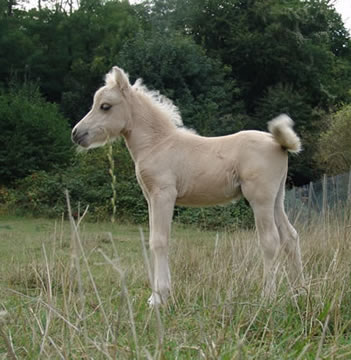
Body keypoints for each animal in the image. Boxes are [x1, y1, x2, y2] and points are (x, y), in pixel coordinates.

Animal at [72, 66, 306, 306]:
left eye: (105, 106)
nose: (76, 134)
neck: (157, 144)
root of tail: (279, 143)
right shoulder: (150, 198)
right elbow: (153, 239)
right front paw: (155, 296)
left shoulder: (164, 195)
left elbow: (160, 241)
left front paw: (160, 297)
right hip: (276, 198)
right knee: (290, 237)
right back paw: (299, 293)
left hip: (260, 199)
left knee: (270, 241)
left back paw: (268, 297)